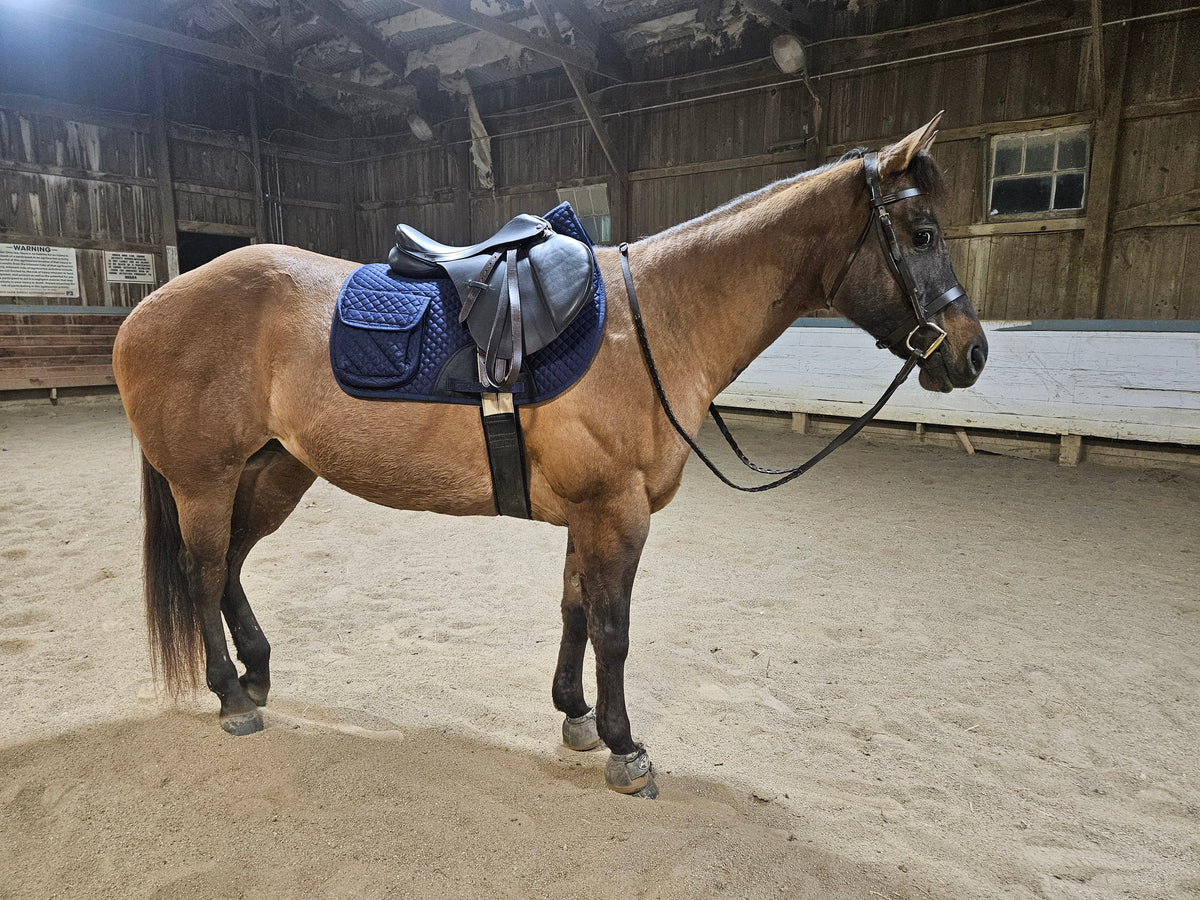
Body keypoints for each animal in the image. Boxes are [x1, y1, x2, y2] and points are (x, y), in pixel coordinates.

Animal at [113, 115, 987, 799]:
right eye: (922, 235)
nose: (973, 353)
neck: (655, 322)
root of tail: (149, 307)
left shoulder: (588, 513)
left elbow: (574, 609)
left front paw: (575, 714)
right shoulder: (617, 513)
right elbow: (614, 628)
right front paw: (626, 747)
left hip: (271, 472)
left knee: (228, 564)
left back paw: (256, 673)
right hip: (205, 479)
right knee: (201, 571)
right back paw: (232, 696)